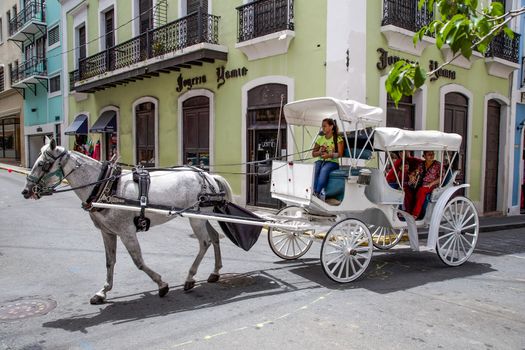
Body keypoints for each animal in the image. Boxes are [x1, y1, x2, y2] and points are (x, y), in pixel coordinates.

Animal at [22, 139, 231, 304]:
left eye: (43, 164)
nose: (26, 191)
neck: (105, 186)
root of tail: (207, 175)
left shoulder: (126, 231)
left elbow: (138, 261)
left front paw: (161, 284)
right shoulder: (107, 232)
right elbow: (109, 261)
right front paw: (103, 291)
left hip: (196, 219)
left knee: (204, 242)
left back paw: (190, 277)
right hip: (203, 216)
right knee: (214, 237)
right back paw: (215, 272)